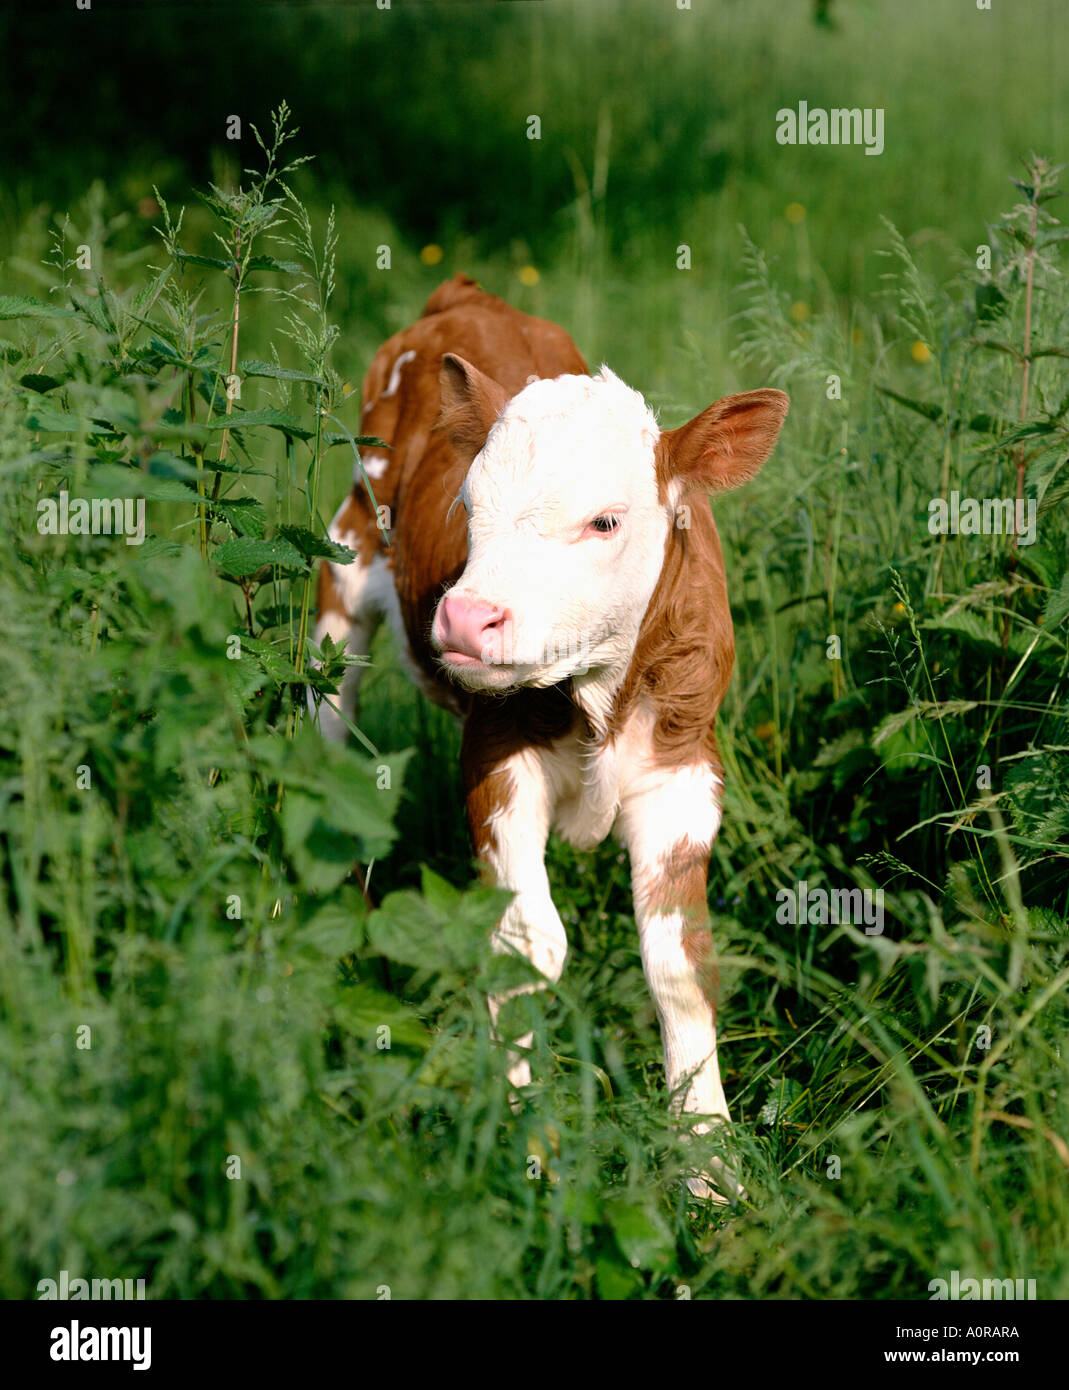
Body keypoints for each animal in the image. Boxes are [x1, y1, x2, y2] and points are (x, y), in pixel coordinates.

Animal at [313, 274, 788, 1200]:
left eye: (605, 522)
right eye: (469, 506)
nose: (464, 617)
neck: (598, 691)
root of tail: (464, 296)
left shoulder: (684, 770)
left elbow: (680, 962)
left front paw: (709, 1166)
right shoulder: (496, 762)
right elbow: (528, 947)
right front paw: (520, 1140)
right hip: (344, 557)